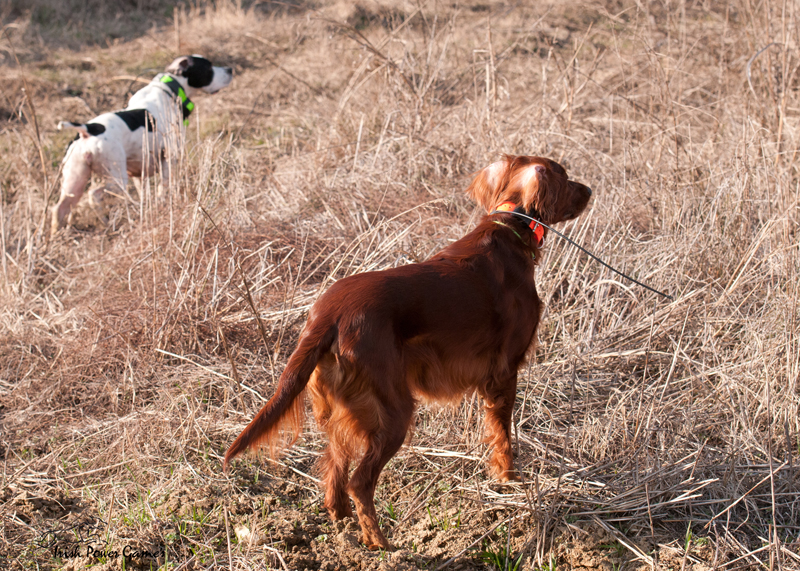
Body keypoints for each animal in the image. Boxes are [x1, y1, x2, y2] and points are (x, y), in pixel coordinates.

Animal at [52, 55, 233, 232]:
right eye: (209, 67)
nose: (230, 69)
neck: (169, 89)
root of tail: (87, 129)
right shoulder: (170, 159)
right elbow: (163, 189)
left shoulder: (139, 173)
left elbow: (144, 194)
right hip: (117, 179)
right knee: (93, 195)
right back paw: (105, 221)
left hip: (74, 181)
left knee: (59, 208)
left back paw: (57, 234)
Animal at [223, 155, 592, 549]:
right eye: (566, 177)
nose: (589, 190)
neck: (512, 225)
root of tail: (326, 316)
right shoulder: (504, 372)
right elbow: (503, 436)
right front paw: (509, 481)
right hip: (394, 410)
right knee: (360, 481)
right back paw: (381, 545)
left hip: (343, 408)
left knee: (335, 466)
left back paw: (342, 523)